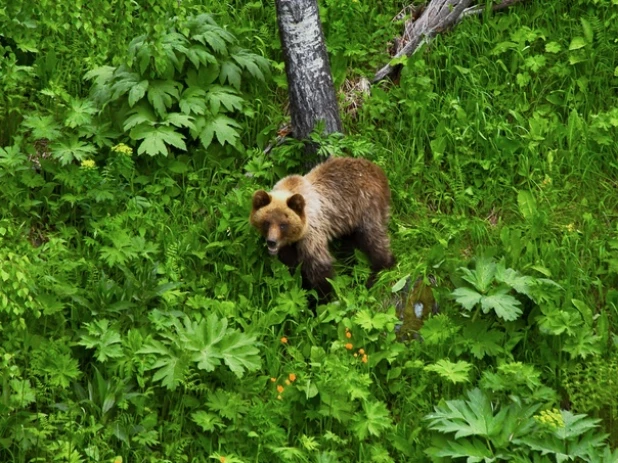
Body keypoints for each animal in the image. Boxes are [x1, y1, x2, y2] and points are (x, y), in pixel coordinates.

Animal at [248, 157, 392, 300]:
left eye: (283, 224)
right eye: (266, 223)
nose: (271, 242)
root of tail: (378, 170)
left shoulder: (312, 234)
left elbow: (319, 267)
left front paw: (321, 298)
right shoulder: (288, 246)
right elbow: (291, 265)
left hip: (365, 206)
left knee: (373, 238)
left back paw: (379, 271)